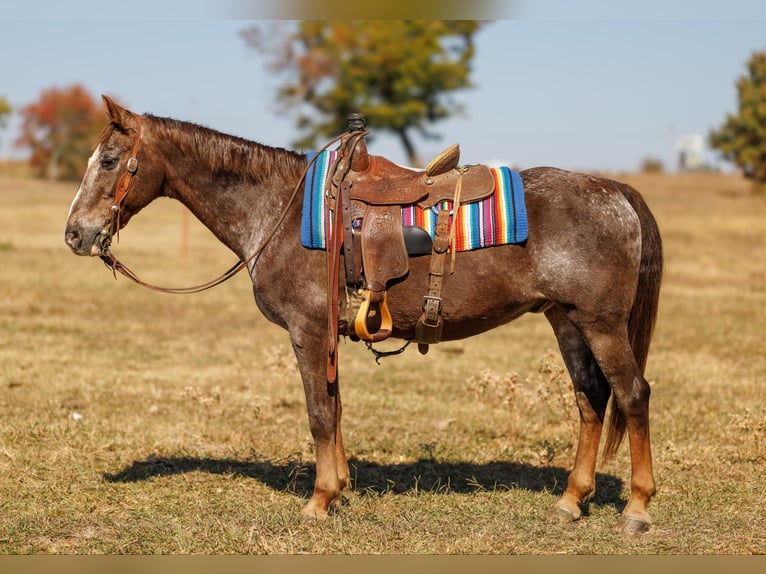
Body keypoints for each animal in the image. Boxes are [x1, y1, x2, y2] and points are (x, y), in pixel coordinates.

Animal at [64, 96, 662, 536]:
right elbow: (335, 408)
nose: (75, 234)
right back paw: (571, 499)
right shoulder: (326, 334)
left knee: (632, 395)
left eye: (110, 161)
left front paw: (319, 500)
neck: (282, 212)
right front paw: (341, 486)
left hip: (601, 324)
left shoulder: (307, 332)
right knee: (590, 398)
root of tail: (615, 191)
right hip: (566, 320)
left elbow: (318, 413)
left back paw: (636, 509)